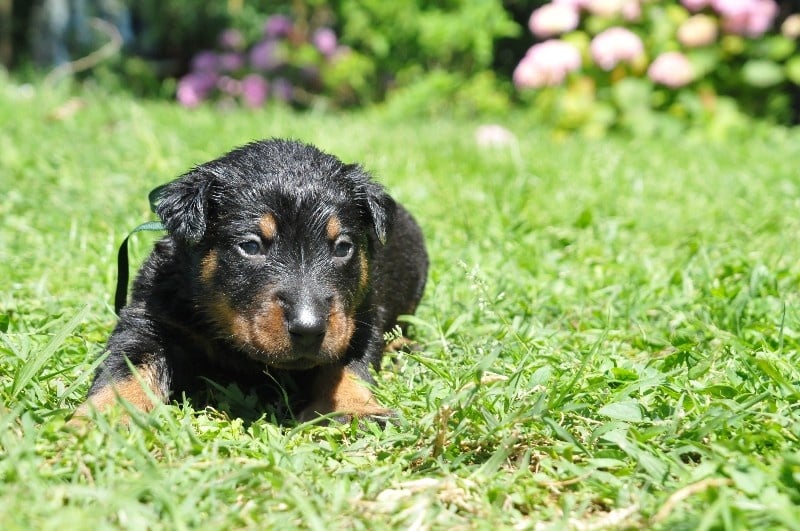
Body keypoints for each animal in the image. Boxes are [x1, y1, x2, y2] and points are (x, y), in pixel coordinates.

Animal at [71, 139, 428, 424]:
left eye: (342, 247)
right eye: (251, 246)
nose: (309, 329)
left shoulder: (358, 318)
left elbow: (348, 367)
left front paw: (355, 409)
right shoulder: (150, 318)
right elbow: (124, 370)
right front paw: (102, 418)